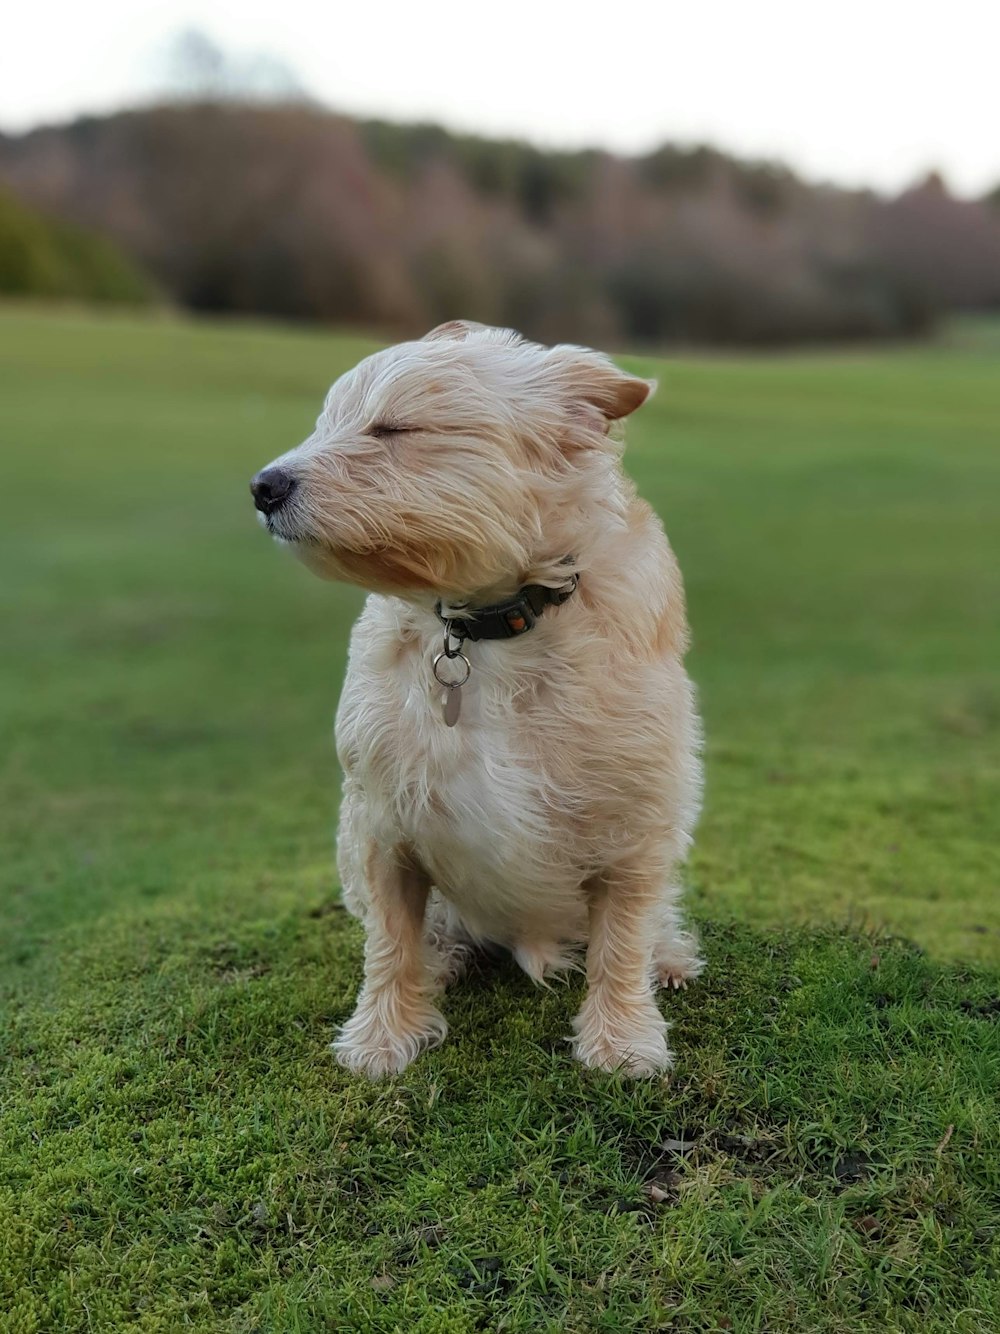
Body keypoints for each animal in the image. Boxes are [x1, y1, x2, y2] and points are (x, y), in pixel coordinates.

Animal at [250, 317, 704, 1077]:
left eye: (395, 427)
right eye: (327, 422)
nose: (263, 486)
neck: (491, 629)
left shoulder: (635, 824)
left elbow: (622, 938)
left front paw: (621, 1038)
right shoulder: (382, 821)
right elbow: (390, 941)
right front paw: (383, 1036)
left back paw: (667, 959)